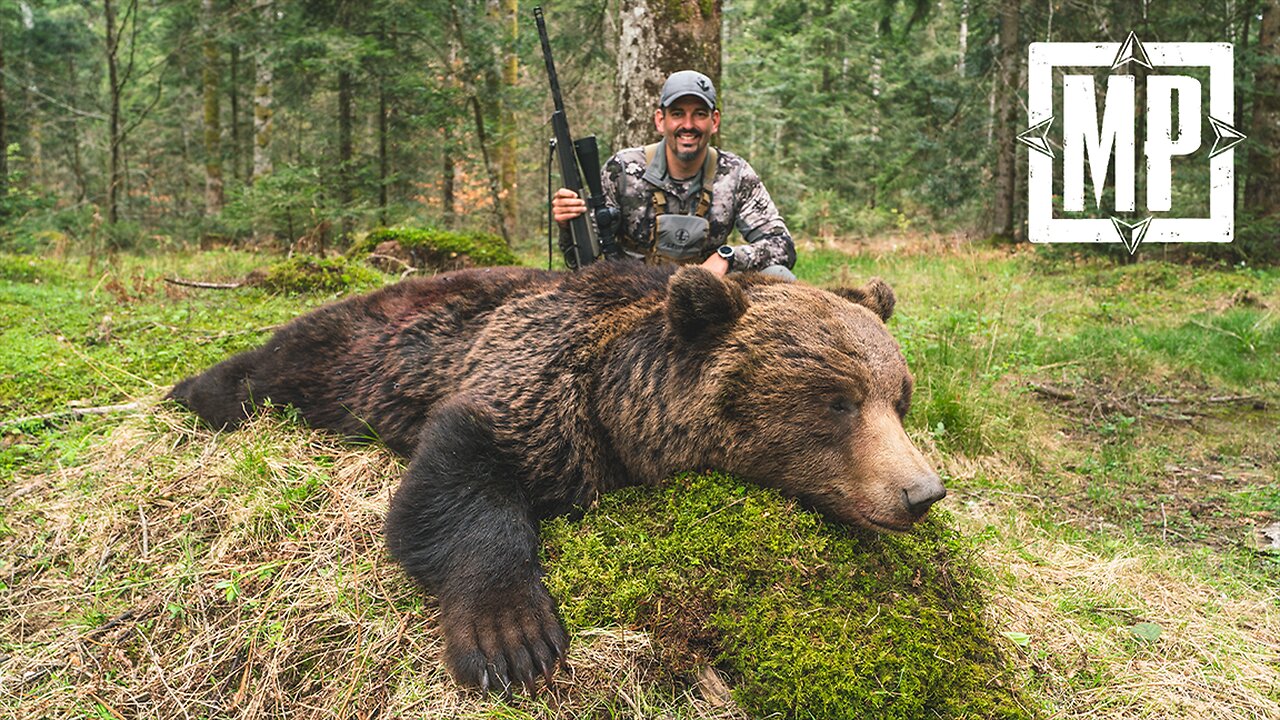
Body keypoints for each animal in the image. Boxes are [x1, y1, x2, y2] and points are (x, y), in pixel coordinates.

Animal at [167, 261, 946, 695]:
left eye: (901, 399)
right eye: (839, 401)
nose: (922, 493)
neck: (617, 397)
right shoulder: (537, 380)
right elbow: (458, 479)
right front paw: (511, 638)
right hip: (334, 358)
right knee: (252, 376)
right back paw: (186, 394)